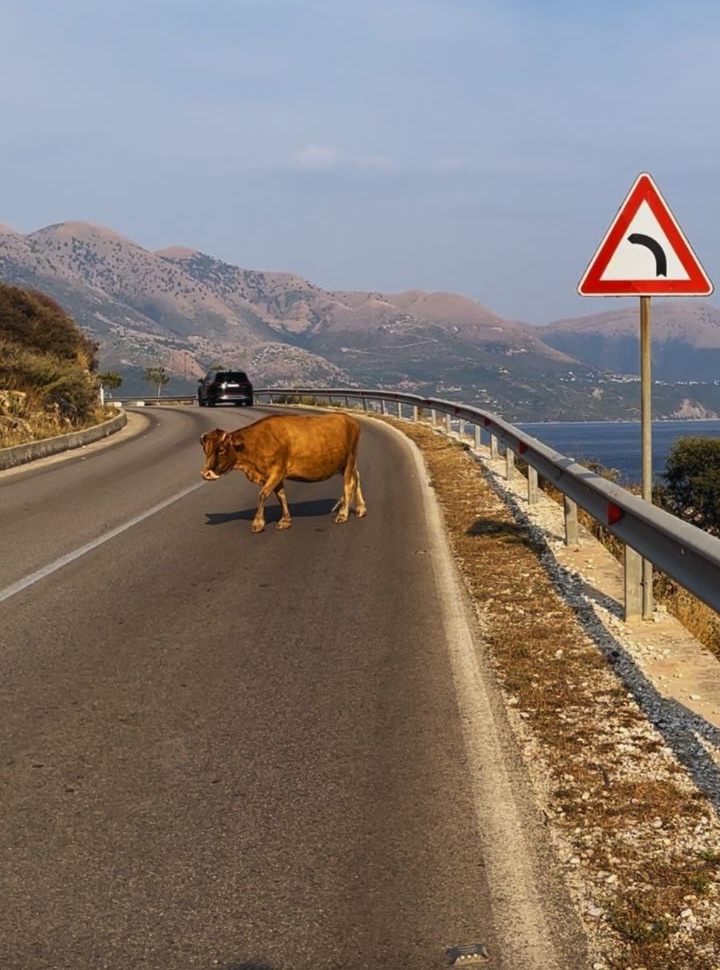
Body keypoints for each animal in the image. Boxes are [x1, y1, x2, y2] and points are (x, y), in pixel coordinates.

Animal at [201, 408, 366, 528]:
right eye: (205, 450)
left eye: (221, 449)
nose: (205, 474)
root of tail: (350, 419)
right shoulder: (276, 475)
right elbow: (281, 496)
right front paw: (286, 520)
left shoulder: (277, 472)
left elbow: (262, 494)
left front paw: (258, 523)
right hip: (344, 464)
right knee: (357, 476)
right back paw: (361, 509)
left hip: (350, 459)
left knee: (349, 484)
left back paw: (343, 514)